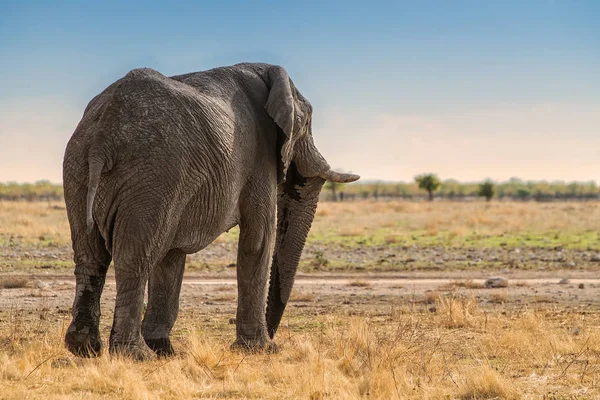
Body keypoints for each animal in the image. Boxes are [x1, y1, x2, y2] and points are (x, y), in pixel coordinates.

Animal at [63, 61, 358, 360]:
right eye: (307, 121)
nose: (275, 334)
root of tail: (103, 138)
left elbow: (171, 257)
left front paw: (165, 350)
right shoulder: (259, 156)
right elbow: (258, 241)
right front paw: (261, 349)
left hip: (79, 169)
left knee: (91, 256)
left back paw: (85, 348)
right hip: (154, 176)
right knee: (134, 259)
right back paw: (135, 355)